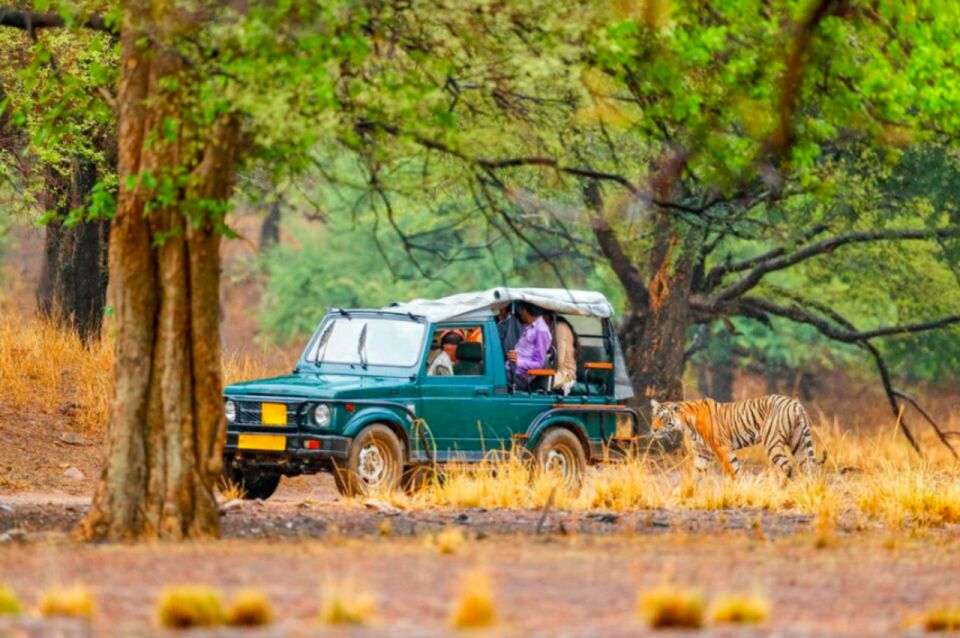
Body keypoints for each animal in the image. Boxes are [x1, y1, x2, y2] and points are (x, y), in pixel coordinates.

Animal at [650, 395, 824, 479]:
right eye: (654, 416)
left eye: (663, 418)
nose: (653, 429)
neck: (686, 423)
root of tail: (795, 404)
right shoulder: (702, 453)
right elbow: (696, 473)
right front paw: (686, 493)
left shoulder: (722, 448)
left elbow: (734, 470)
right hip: (798, 441)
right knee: (809, 467)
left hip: (772, 442)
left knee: (787, 466)